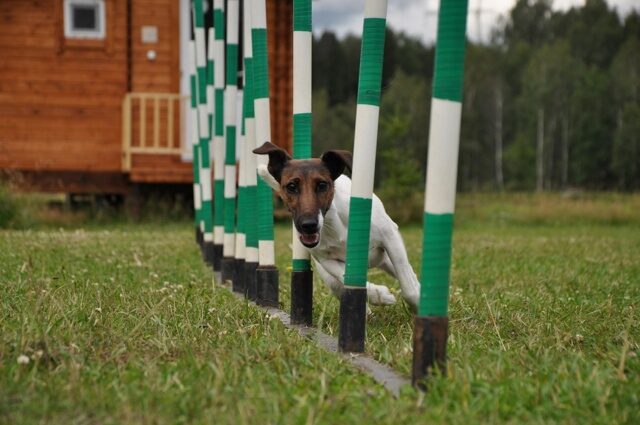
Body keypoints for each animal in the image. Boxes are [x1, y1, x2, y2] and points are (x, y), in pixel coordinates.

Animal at [252, 141, 422, 310]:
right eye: (291, 186)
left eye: (322, 185)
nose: (308, 225)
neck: (333, 223)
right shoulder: (327, 261)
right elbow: (345, 276)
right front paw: (379, 294)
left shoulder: (390, 236)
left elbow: (408, 288)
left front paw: (417, 302)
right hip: (331, 279)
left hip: (386, 258)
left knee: (409, 274)